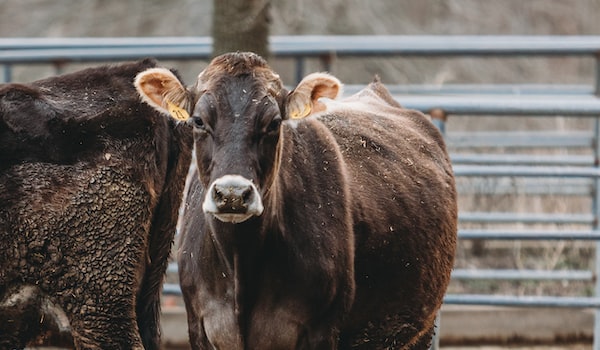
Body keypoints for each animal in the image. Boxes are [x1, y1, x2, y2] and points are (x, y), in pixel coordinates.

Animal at [135, 52, 454, 350]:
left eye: (274, 122)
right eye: (199, 120)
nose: (233, 194)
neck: (240, 269)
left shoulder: (321, 331)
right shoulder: (200, 327)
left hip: (419, 328)